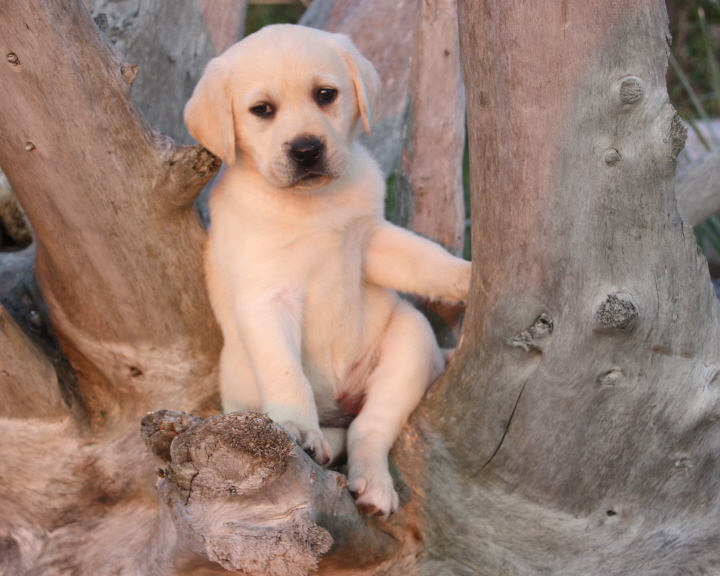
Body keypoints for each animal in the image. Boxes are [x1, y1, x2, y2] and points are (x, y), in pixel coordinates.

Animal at [183, 24, 470, 516]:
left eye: (325, 95)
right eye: (262, 110)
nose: (306, 149)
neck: (312, 205)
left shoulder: (372, 241)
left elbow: (424, 256)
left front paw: (466, 276)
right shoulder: (266, 297)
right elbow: (287, 375)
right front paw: (299, 428)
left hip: (410, 342)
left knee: (369, 430)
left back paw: (373, 485)